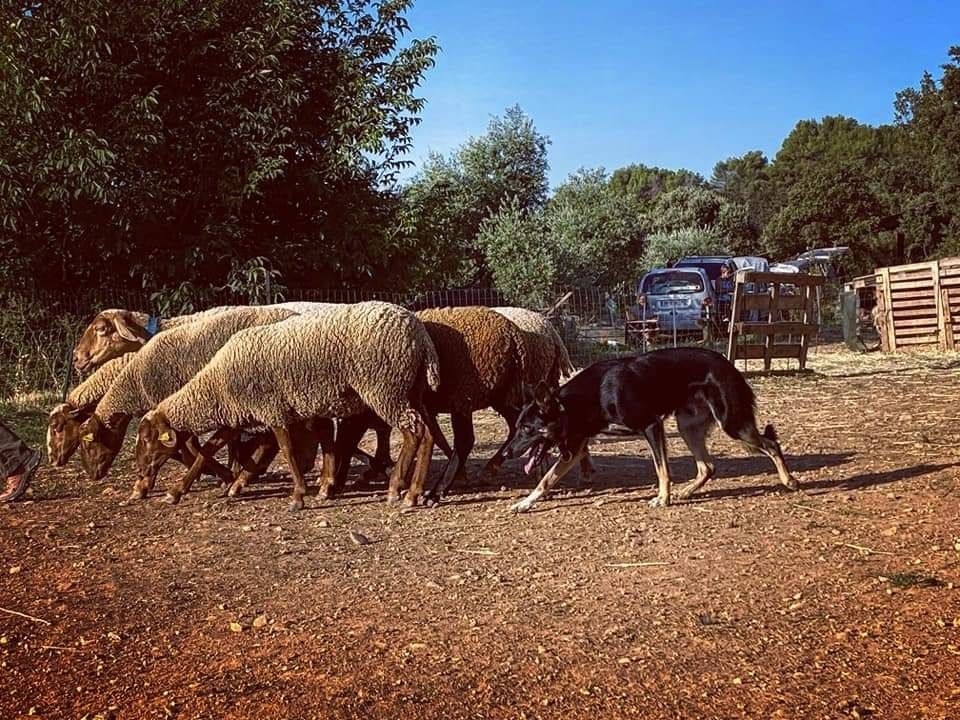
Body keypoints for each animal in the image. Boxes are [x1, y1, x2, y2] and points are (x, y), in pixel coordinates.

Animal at [133, 300, 452, 510]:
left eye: (148, 440)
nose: (140, 473)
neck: (216, 385)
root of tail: (421, 336)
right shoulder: (238, 415)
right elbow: (208, 450)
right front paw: (177, 491)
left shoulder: (272, 410)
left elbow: (286, 450)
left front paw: (298, 495)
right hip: (410, 390)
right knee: (426, 433)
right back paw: (413, 491)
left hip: (386, 389)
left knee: (414, 432)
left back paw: (398, 489)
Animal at [506, 348, 800, 512]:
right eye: (518, 426)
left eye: (527, 428)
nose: (507, 453)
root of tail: (729, 365)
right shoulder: (575, 450)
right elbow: (545, 481)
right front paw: (524, 503)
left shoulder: (651, 425)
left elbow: (662, 470)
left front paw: (662, 498)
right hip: (688, 427)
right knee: (708, 466)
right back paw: (687, 492)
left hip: (732, 423)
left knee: (771, 445)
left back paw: (789, 481)